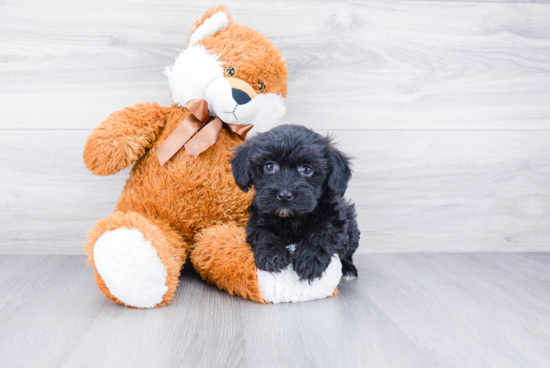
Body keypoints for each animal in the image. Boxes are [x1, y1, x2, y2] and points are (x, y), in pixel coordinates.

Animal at [231, 123, 360, 282]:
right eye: (269, 167)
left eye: (306, 169)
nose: (285, 195)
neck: (292, 218)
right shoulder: (257, 221)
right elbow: (264, 234)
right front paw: (272, 255)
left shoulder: (335, 218)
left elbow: (323, 232)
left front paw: (310, 259)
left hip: (352, 227)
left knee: (347, 253)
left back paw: (348, 269)